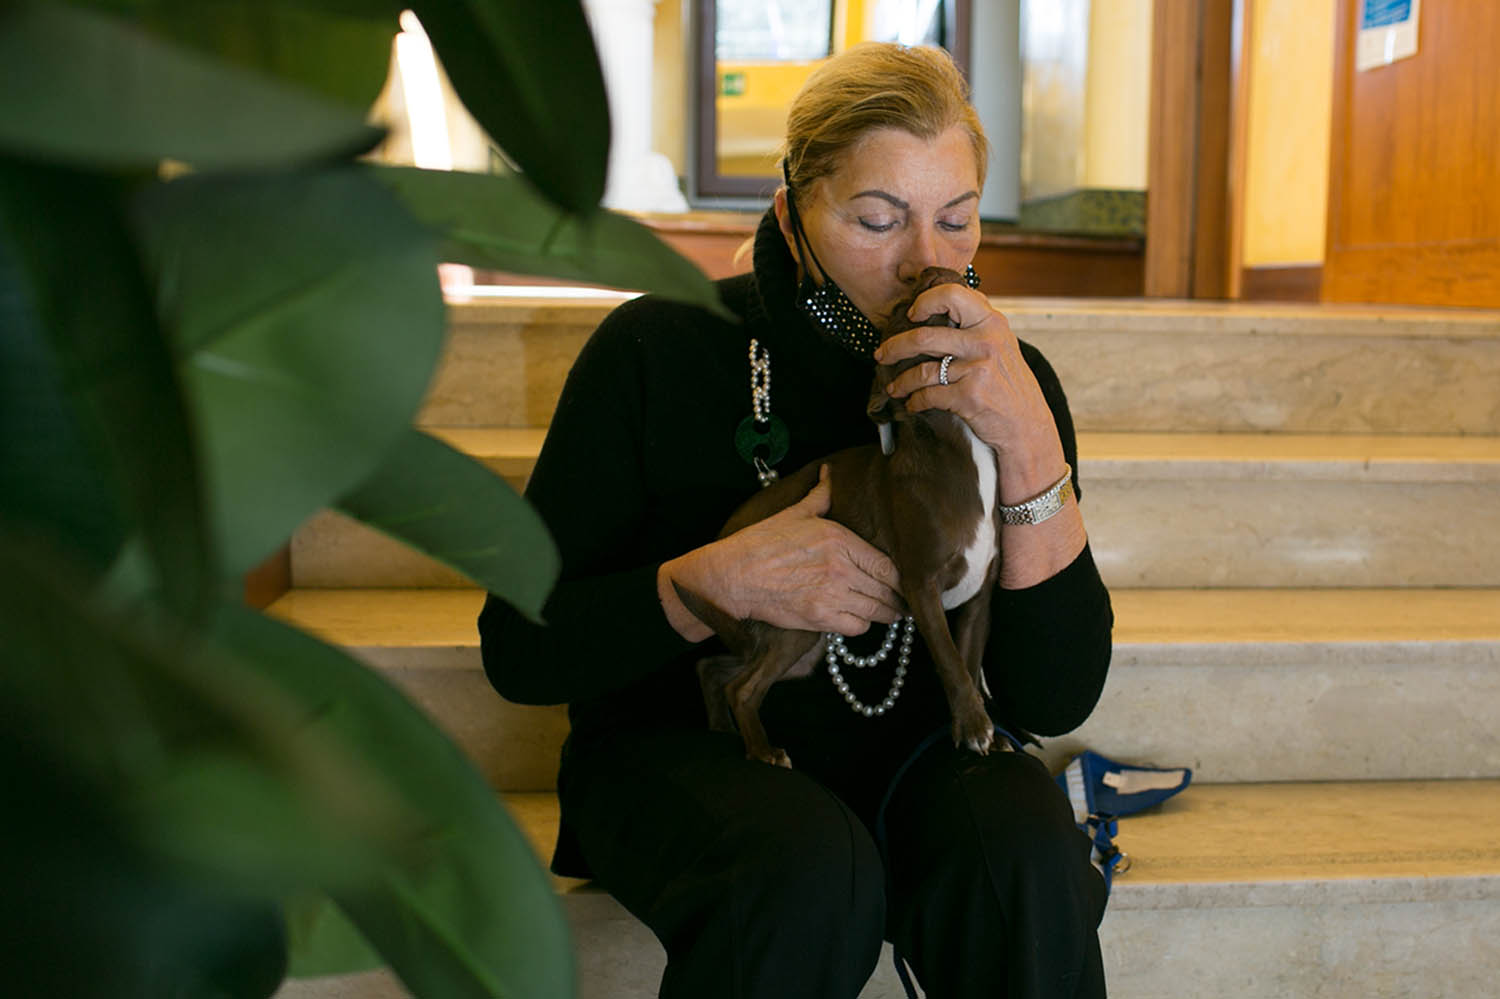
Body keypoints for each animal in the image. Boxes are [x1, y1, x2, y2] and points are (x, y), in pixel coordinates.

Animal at [678, 264, 1002, 762]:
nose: (929, 269)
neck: (956, 440)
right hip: (793, 625)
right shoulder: (922, 586)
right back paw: (763, 751)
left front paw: (983, 728)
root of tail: (722, 541)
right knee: (743, 688)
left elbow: (968, 659)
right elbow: (950, 661)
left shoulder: (979, 596)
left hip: (793, 645)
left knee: (714, 667)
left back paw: (723, 730)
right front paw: (972, 726)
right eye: (898, 311)